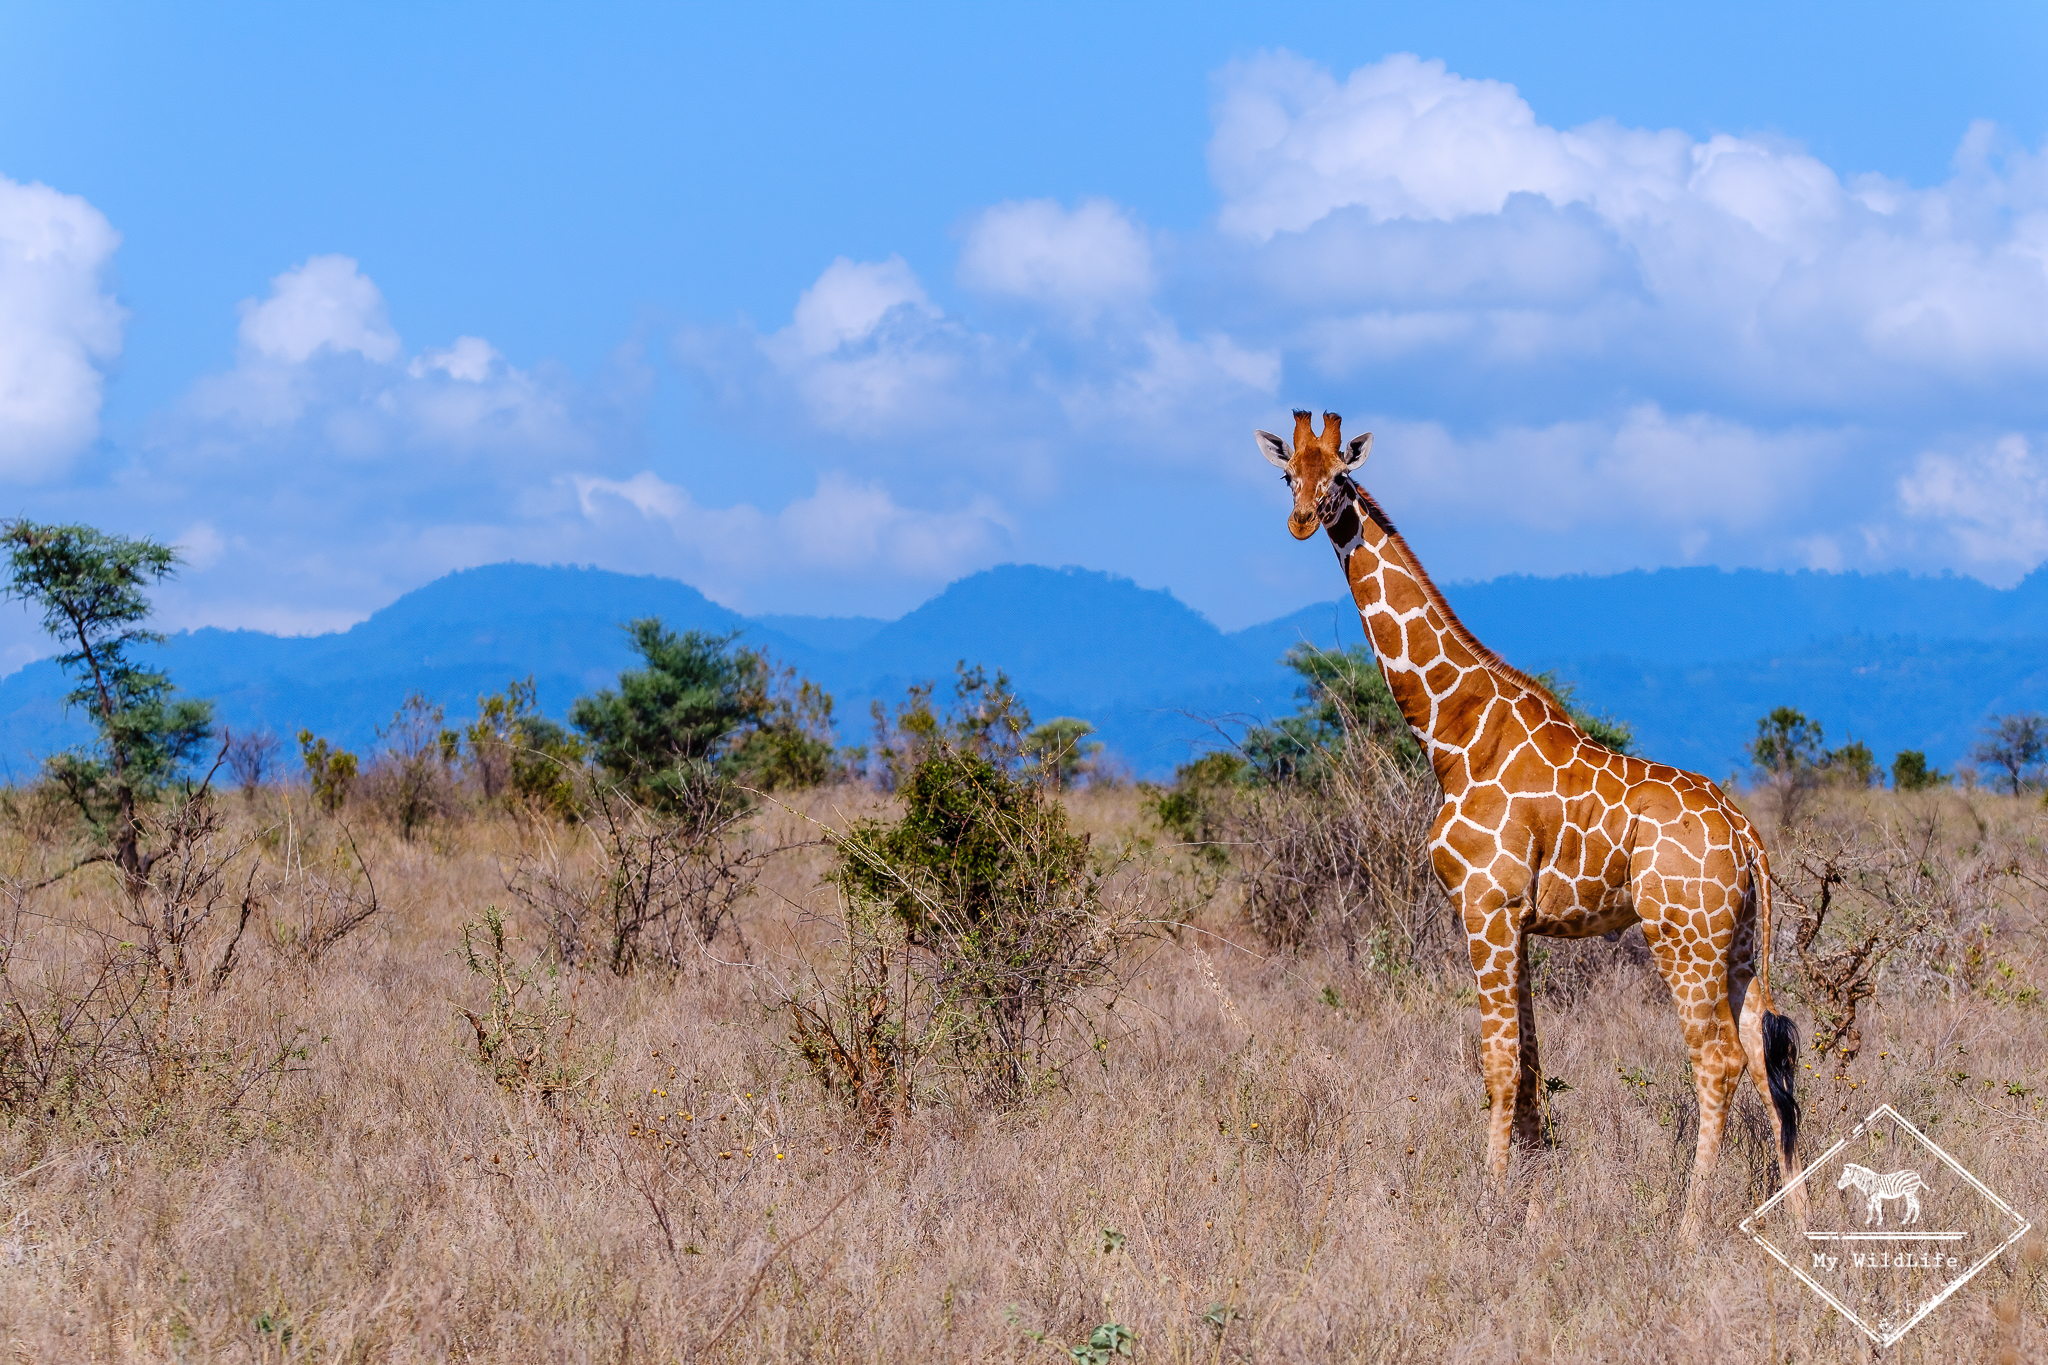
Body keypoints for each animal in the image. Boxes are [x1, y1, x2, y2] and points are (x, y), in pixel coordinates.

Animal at [1257, 410, 1803, 1235]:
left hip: (1682, 934)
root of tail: (1747, 835)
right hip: (1736, 941)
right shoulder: (1515, 919)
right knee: (1768, 1048)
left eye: (1341, 477)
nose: (1299, 519)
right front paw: (1537, 1204)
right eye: (1290, 473)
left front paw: (1487, 1201)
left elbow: (1498, 1061)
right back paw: (1800, 1216)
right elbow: (1533, 1066)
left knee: (1718, 1060)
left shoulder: (1485, 905)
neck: (1451, 733)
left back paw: (1688, 1225)